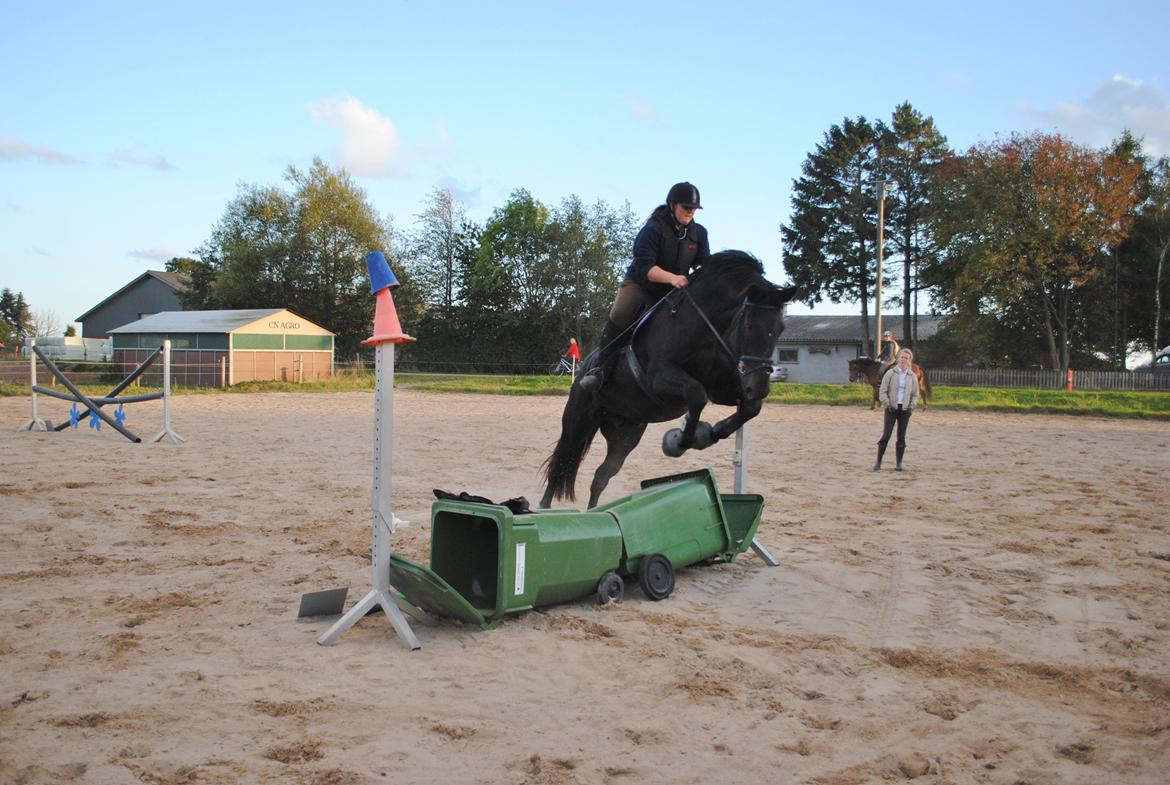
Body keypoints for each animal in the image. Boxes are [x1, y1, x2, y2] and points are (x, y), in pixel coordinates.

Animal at [538, 251, 795, 510]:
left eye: (781, 328)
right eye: (749, 325)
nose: (759, 387)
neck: (707, 328)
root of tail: (582, 370)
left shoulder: (721, 388)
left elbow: (750, 408)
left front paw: (712, 432)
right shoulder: (659, 378)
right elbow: (696, 394)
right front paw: (681, 441)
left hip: (626, 434)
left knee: (602, 475)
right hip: (579, 419)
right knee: (562, 463)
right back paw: (544, 508)